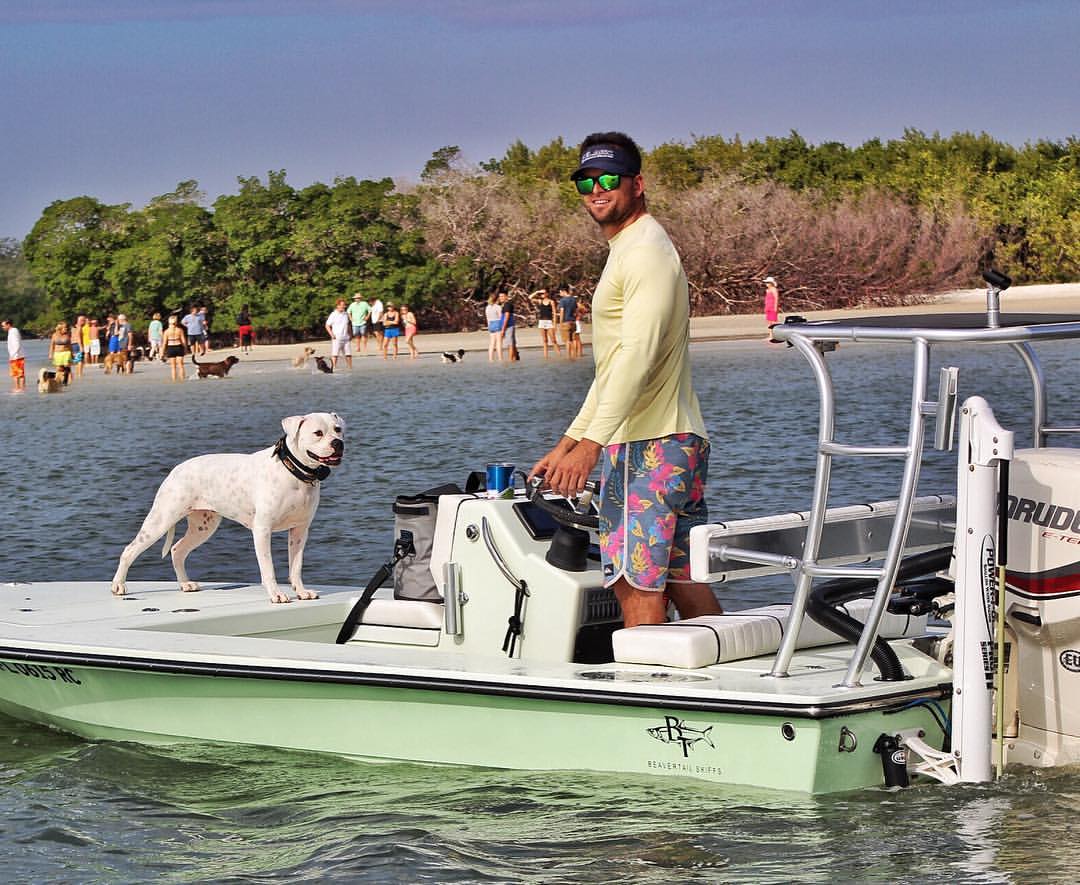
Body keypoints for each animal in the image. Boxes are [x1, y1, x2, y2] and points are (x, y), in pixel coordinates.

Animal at [112, 412, 345, 605]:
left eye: (338, 429)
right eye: (317, 433)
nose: (338, 443)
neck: (294, 472)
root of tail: (175, 470)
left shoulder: (299, 531)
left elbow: (295, 567)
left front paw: (302, 592)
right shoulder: (263, 531)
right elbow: (268, 568)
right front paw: (276, 595)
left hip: (203, 527)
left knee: (177, 549)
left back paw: (186, 584)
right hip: (160, 521)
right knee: (129, 550)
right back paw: (118, 586)